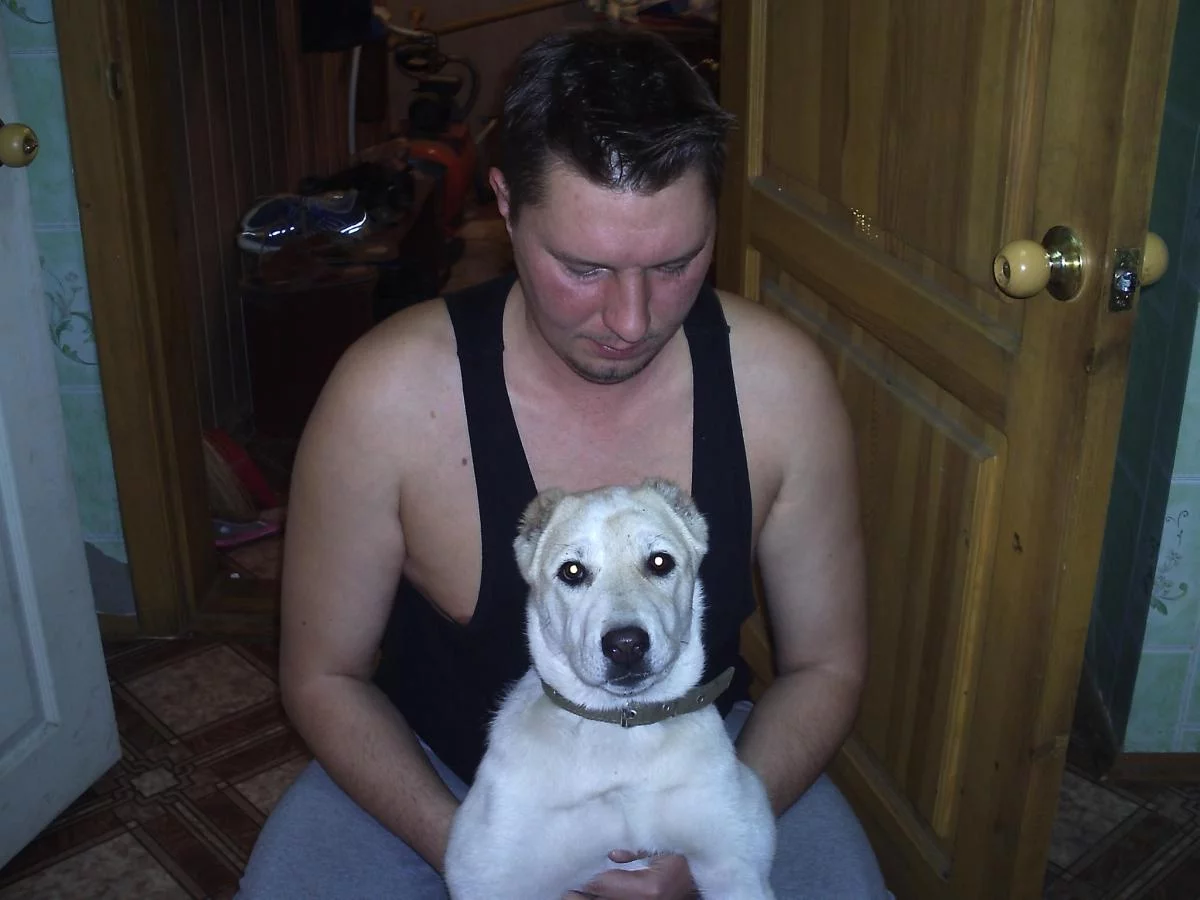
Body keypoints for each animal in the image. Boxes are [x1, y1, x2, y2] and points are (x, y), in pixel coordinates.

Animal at [444, 478, 776, 899]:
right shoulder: (489, 877)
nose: (626, 645)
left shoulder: (736, 864)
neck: (621, 732)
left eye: (660, 562)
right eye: (572, 570)